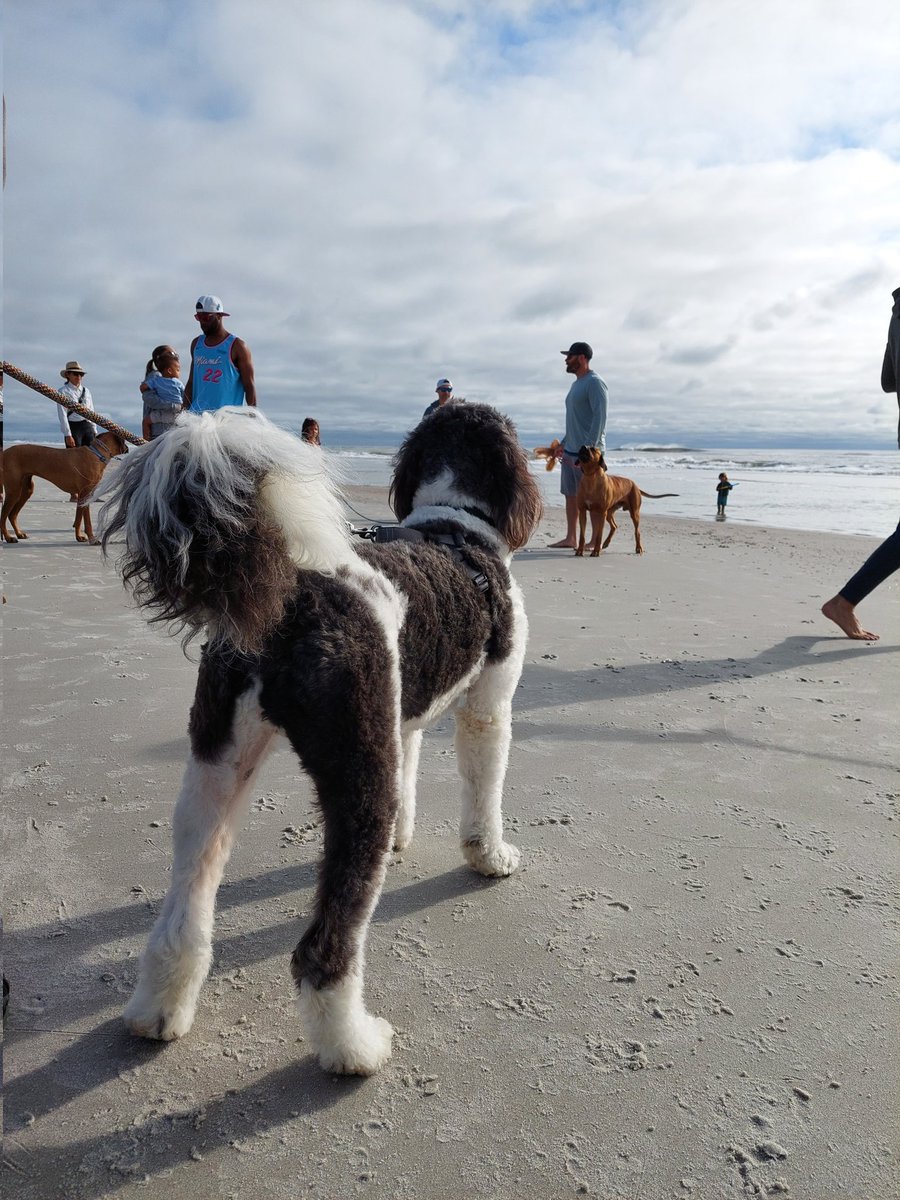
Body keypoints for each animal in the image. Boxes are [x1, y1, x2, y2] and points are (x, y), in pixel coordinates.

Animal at [0, 432, 128, 544]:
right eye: (124, 441)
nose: (128, 448)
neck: (97, 454)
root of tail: (4, 453)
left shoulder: (83, 496)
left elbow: (78, 518)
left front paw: (79, 536)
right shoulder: (85, 494)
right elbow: (87, 522)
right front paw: (92, 539)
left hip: (26, 490)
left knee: (12, 515)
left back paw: (19, 533)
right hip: (14, 491)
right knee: (3, 515)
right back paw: (8, 537)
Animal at [102, 403, 547, 1080]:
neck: (455, 528)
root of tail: (295, 599)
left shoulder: (402, 721)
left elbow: (411, 771)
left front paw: (406, 839)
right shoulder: (489, 709)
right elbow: (484, 791)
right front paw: (490, 856)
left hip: (215, 769)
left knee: (185, 902)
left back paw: (158, 1010)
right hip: (358, 784)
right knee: (322, 951)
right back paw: (353, 1048)